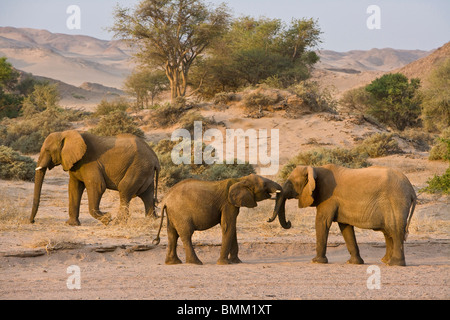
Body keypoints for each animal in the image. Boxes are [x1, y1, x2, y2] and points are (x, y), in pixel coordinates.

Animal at [29, 130, 160, 225]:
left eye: (47, 150)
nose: (32, 221)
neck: (65, 134)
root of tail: (155, 158)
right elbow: (74, 188)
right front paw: (71, 224)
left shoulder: (90, 163)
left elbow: (98, 186)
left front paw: (107, 218)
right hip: (144, 170)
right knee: (147, 195)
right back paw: (151, 221)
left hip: (138, 167)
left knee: (125, 189)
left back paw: (117, 222)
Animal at [154, 175, 282, 264]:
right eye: (264, 184)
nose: (268, 219)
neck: (240, 180)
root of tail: (165, 200)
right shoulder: (228, 204)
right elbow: (227, 226)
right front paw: (224, 263)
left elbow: (232, 228)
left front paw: (236, 262)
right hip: (181, 213)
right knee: (186, 234)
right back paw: (196, 263)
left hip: (173, 213)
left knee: (172, 234)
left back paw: (173, 263)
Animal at [268, 164, 416, 266]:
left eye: (290, 183)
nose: (289, 222)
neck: (315, 168)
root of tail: (411, 189)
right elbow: (345, 227)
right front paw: (353, 263)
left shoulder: (328, 197)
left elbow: (322, 222)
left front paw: (316, 261)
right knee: (388, 231)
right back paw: (385, 261)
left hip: (396, 200)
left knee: (395, 229)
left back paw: (394, 264)